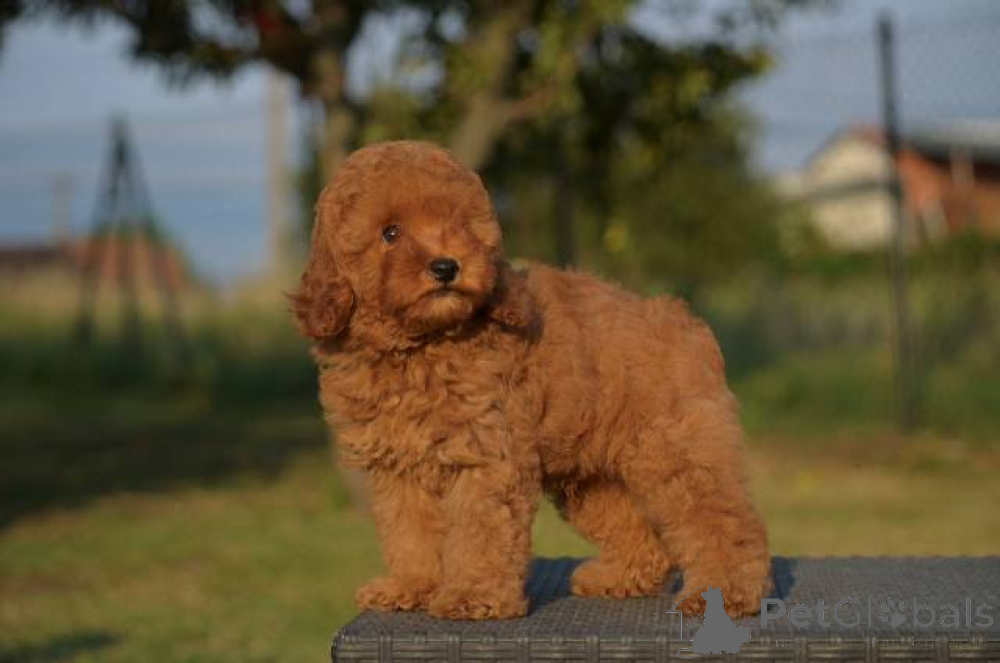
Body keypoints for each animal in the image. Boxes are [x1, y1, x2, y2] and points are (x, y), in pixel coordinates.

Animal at [292, 140, 770, 620]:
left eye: (461, 225)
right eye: (390, 233)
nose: (446, 267)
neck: (422, 345)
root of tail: (683, 321)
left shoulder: (487, 455)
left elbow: (480, 530)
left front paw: (473, 595)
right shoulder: (398, 468)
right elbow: (408, 532)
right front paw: (410, 586)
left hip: (679, 453)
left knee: (723, 522)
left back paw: (724, 593)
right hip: (589, 473)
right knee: (639, 530)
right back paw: (617, 578)